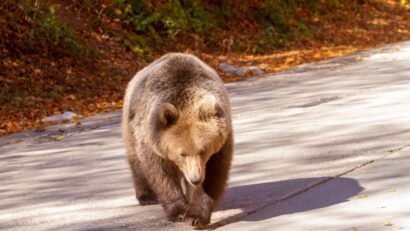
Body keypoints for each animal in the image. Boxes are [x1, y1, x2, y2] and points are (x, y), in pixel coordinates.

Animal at [121, 52, 232, 227]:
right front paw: (179, 212)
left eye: (203, 151)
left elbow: (214, 173)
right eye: (182, 153)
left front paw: (196, 216)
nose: (195, 179)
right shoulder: (152, 142)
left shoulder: (220, 144)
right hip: (130, 126)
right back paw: (145, 197)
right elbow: (161, 175)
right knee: (136, 162)